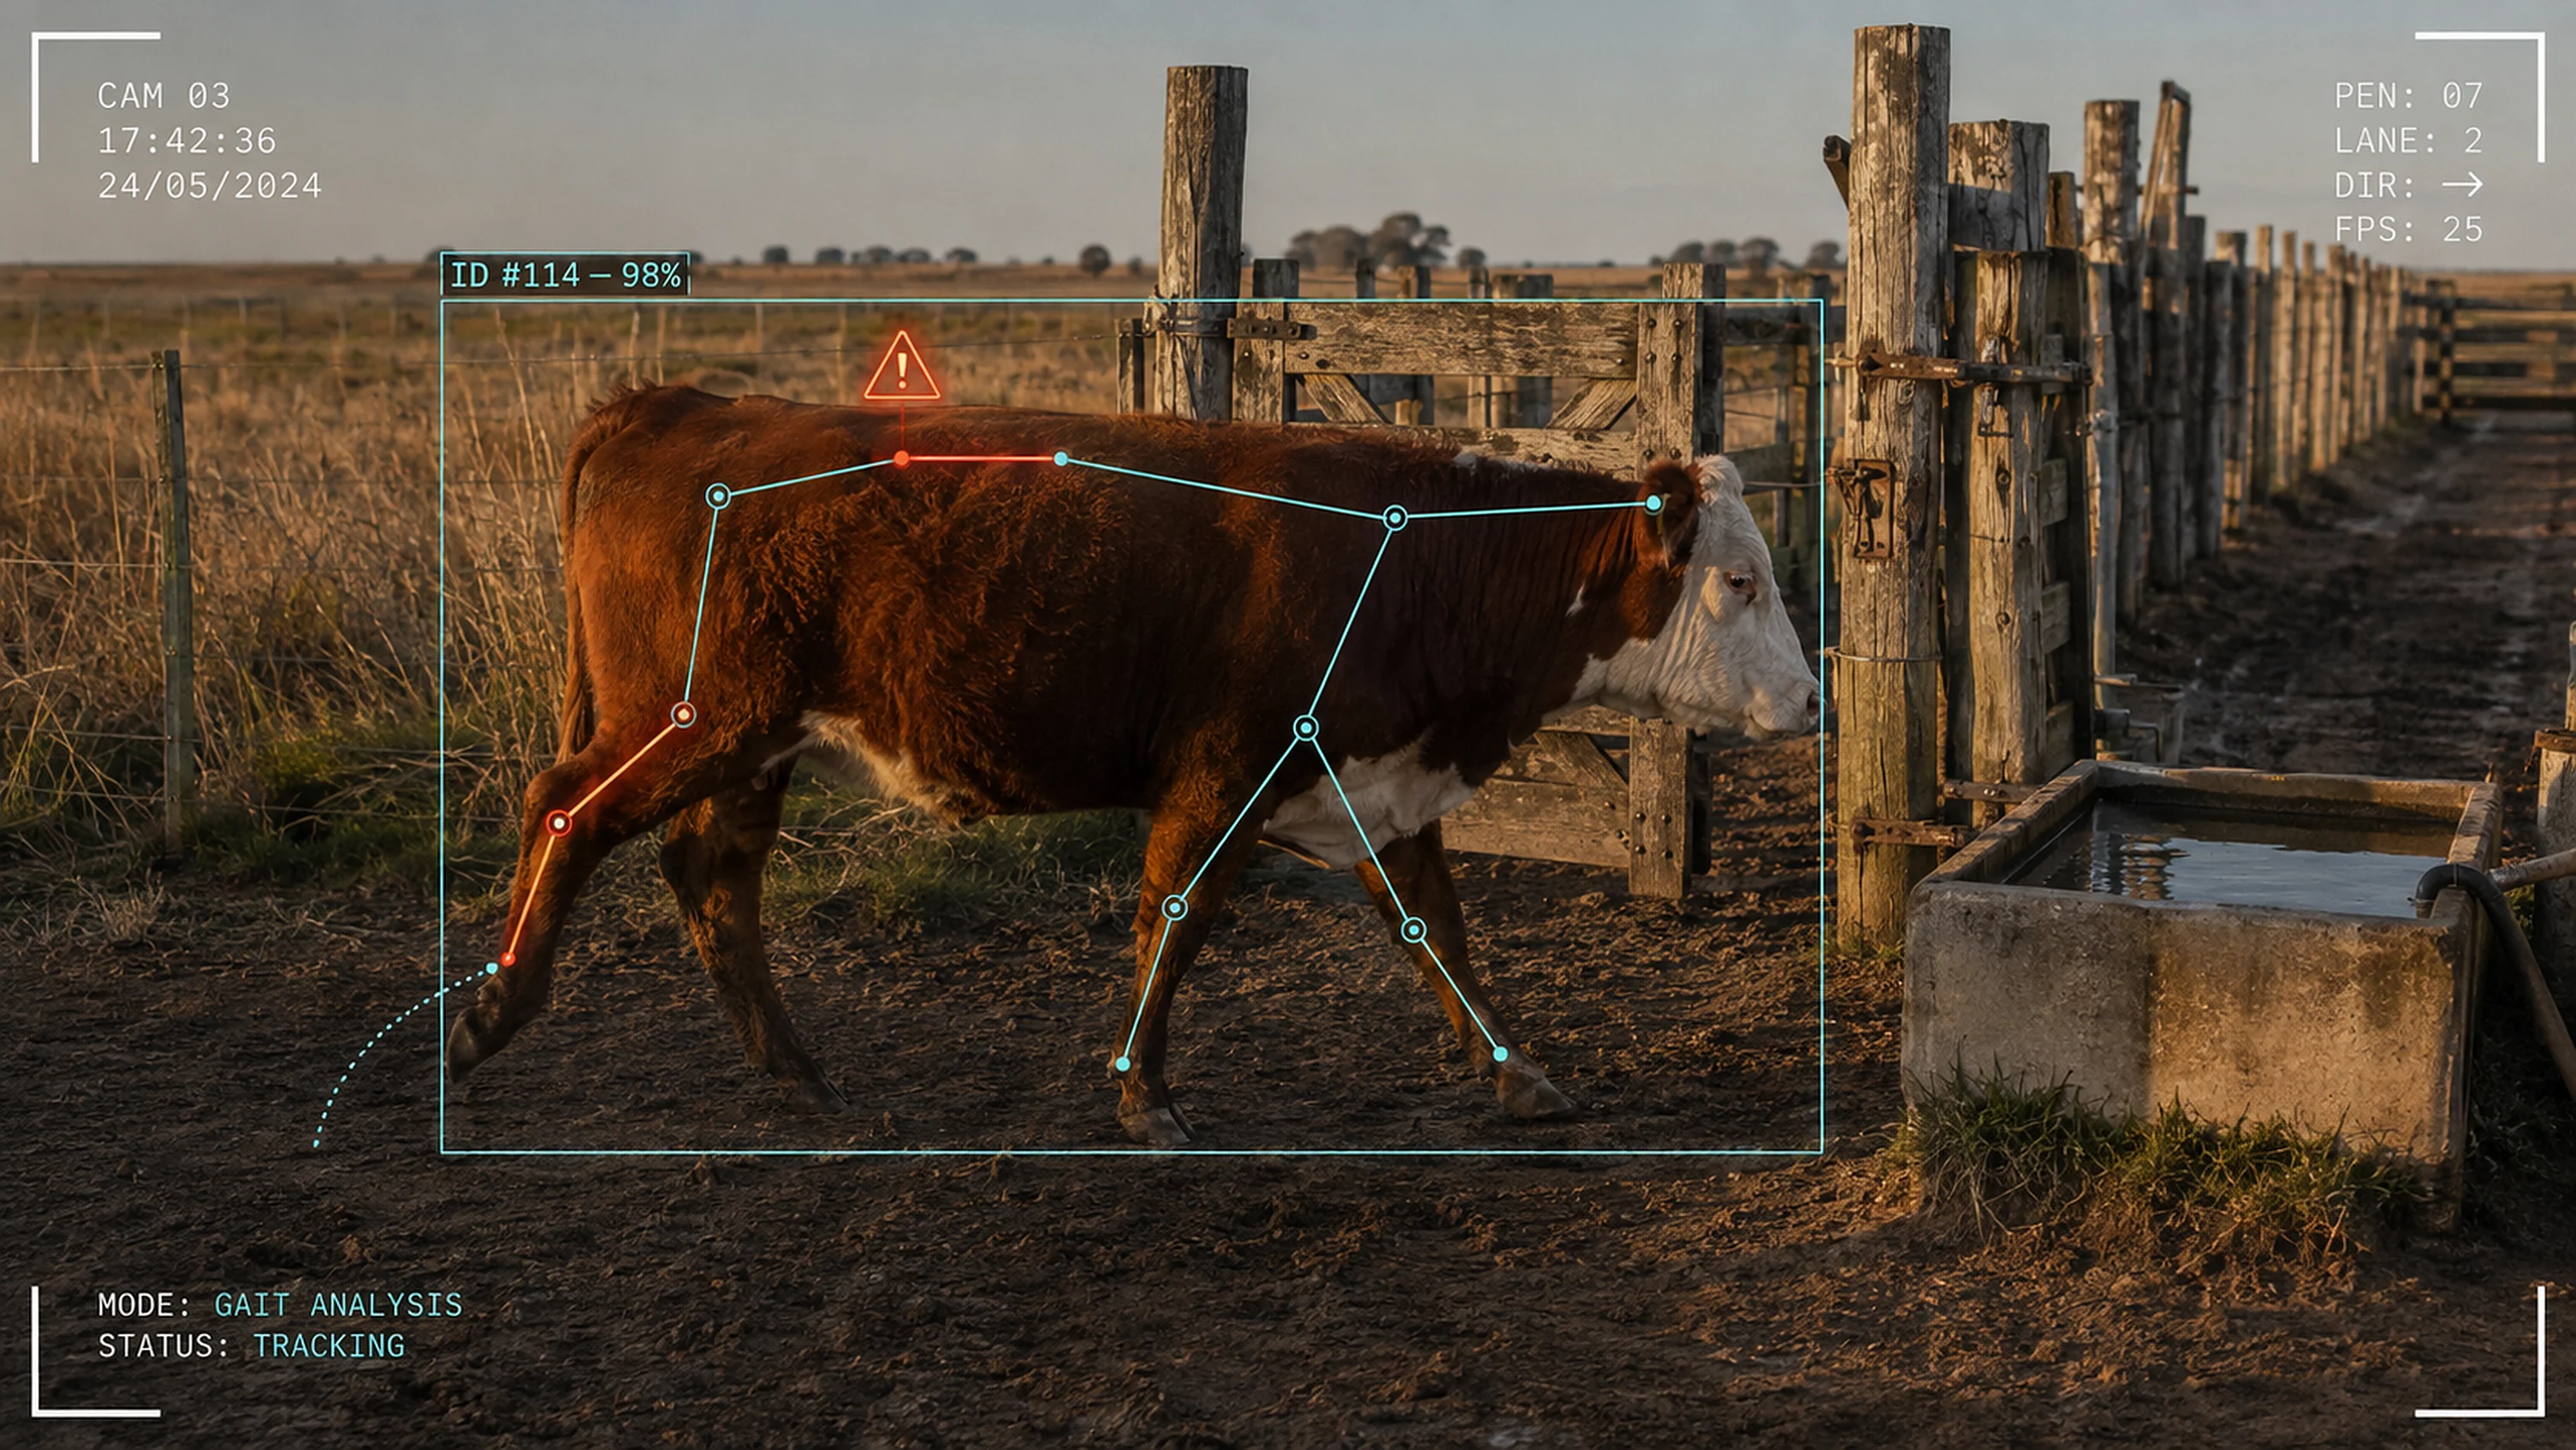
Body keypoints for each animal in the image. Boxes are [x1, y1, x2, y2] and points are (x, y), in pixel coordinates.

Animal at [444, 385, 1820, 1146]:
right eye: (1738, 582)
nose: (1811, 700)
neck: (1416, 558)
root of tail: (684, 405)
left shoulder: (1374, 784)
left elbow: (1438, 929)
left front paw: (1520, 1074)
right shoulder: (1224, 774)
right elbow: (1179, 915)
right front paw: (1144, 1097)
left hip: (751, 743)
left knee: (712, 877)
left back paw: (796, 1072)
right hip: (693, 721)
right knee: (564, 810)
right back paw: (487, 1018)